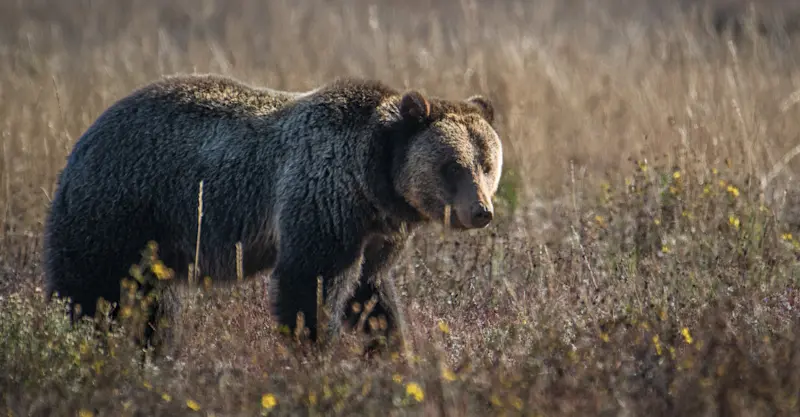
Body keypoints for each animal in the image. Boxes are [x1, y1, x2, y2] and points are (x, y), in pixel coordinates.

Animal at [42, 73, 504, 351]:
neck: (372, 181)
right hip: (121, 209)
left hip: (157, 246)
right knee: (89, 287)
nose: (481, 211)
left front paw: (392, 352)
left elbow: (371, 293)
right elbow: (309, 283)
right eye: (453, 166)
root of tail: (84, 139)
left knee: (154, 304)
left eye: (487, 163)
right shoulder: (321, 200)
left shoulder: (376, 232)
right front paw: (315, 350)